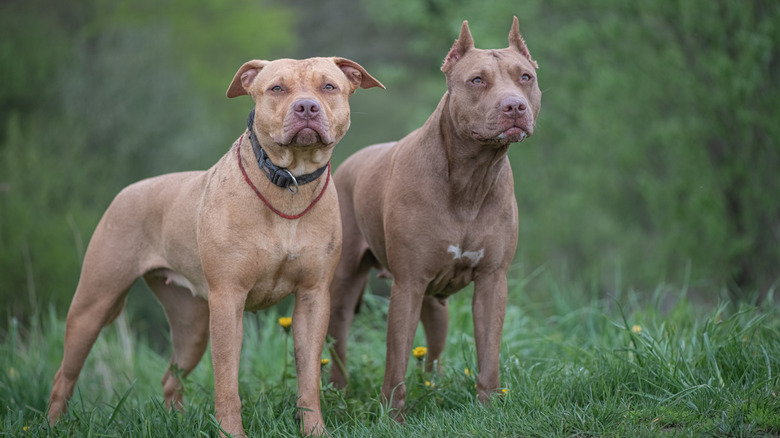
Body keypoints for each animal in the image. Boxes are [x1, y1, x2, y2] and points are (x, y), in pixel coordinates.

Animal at [45, 56, 384, 436]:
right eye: (276, 88)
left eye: (328, 86)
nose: (306, 107)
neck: (289, 183)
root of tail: (128, 190)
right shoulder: (228, 299)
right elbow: (226, 382)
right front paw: (231, 432)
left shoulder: (313, 298)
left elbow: (309, 379)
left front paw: (314, 431)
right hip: (93, 304)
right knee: (63, 376)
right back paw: (52, 425)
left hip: (190, 326)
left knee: (171, 378)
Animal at [326, 17, 540, 420]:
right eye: (477, 80)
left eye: (526, 77)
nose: (515, 106)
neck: (471, 178)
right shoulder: (407, 286)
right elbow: (395, 360)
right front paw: (392, 418)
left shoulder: (493, 282)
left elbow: (489, 353)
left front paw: (489, 408)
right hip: (342, 288)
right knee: (338, 340)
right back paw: (338, 395)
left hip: (435, 306)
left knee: (433, 353)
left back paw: (433, 389)